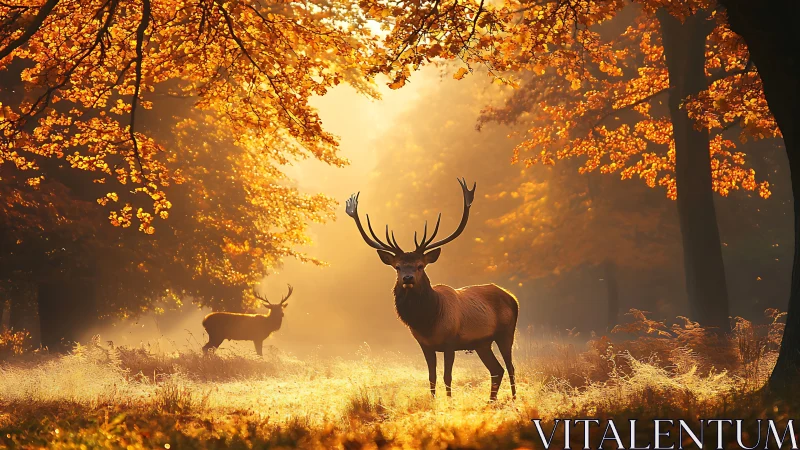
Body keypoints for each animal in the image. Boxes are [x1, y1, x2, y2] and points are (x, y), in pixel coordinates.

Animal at [345, 178, 519, 401]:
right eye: (397, 267)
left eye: (420, 265)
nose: (407, 278)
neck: (428, 321)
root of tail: (512, 297)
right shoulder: (424, 345)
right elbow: (431, 377)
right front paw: (434, 402)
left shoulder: (451, 342)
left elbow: (447, 377)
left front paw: (450, 403)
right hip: (482, 342)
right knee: (497, 369)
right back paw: (490, 402)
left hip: (506, 332)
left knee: (510, 366)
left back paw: (514, 399)